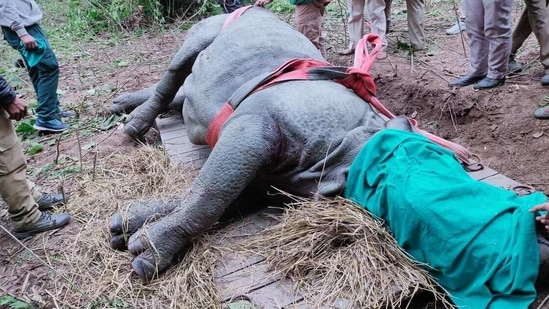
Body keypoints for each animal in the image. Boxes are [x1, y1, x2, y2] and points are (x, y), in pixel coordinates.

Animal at [107, 6, 548, 306]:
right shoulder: (258, 126)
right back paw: (128, 127)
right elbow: (211, 193)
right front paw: (145, 257)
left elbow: (219, 193)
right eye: (456, 184)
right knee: (184, 61)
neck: (360, 153)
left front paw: (125, 226)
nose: (540, 235)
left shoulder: (270, 176)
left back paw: (122, 108)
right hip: (220, 23)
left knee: (188, 92)